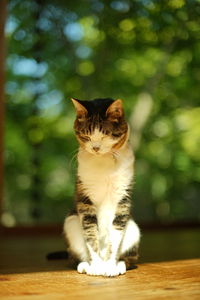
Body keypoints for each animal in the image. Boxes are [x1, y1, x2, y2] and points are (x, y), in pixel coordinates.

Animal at [63, 98, 140, 276]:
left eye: (105, 135)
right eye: (86, 135)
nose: (96, 148)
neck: (103, 161)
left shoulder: (122, 197)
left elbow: (115, 235)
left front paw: (110, 267)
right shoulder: (85, 199)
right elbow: (90, 233)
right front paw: (97, 266)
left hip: (133, 229)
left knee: (131, 258)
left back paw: (119, 265)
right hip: (71, 222)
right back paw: (86, 265)